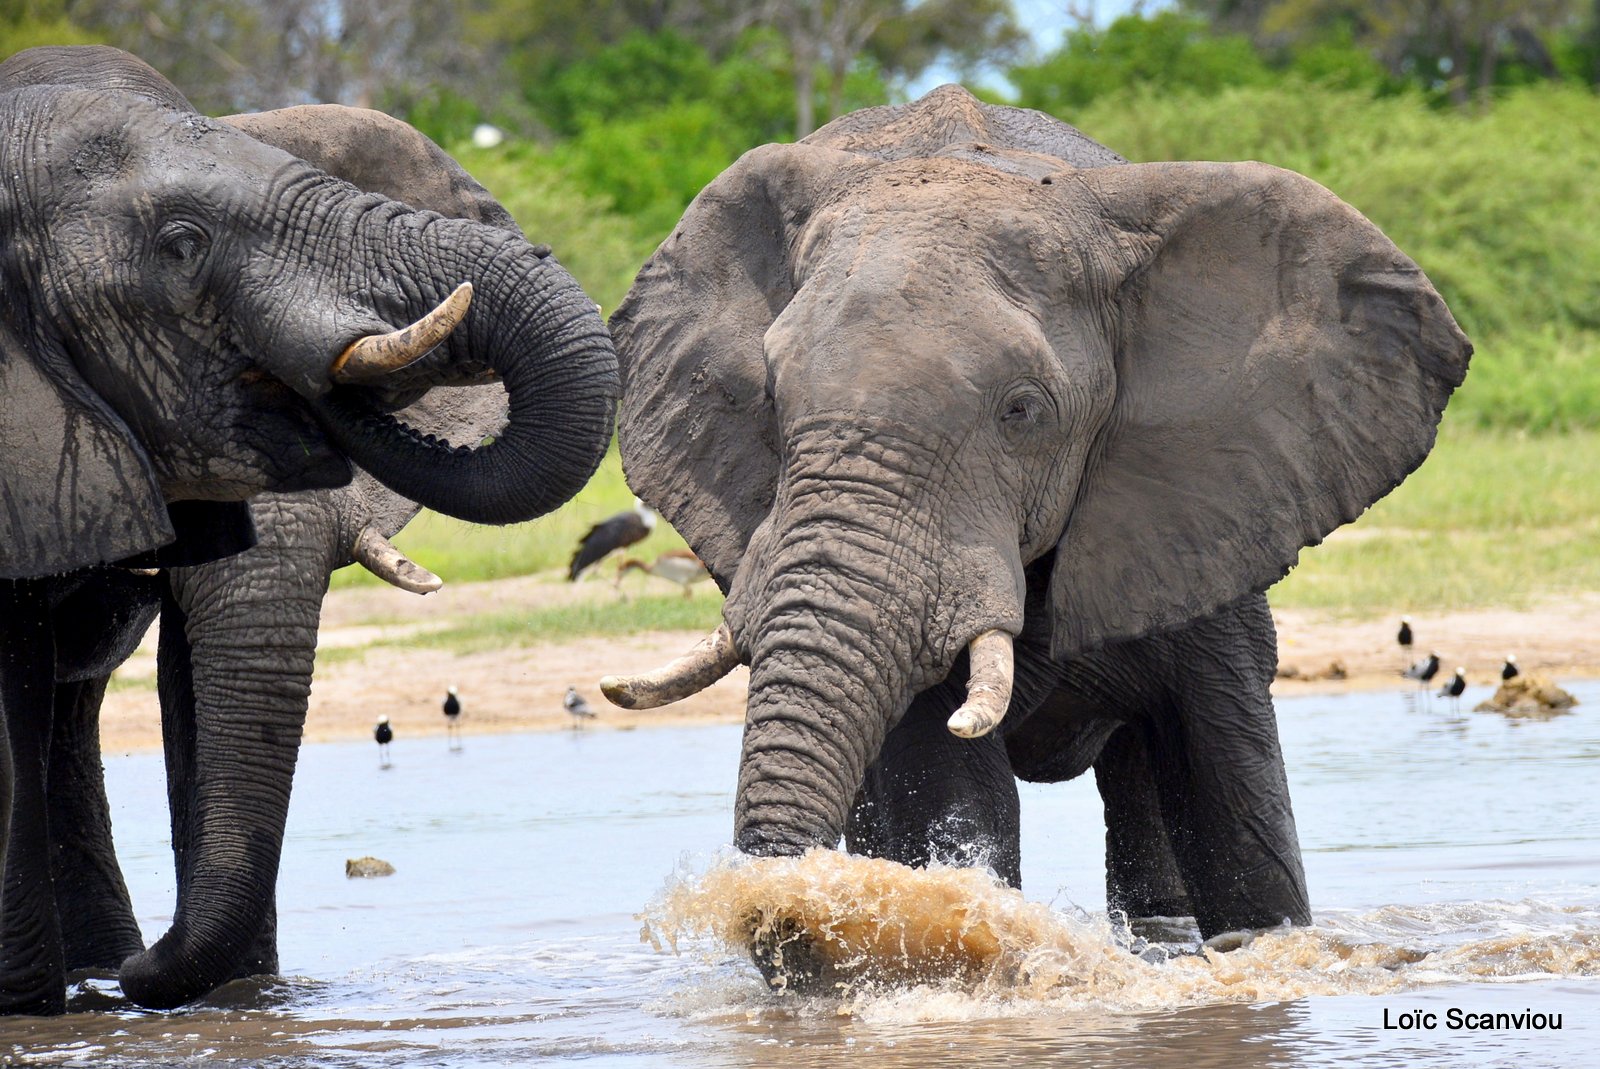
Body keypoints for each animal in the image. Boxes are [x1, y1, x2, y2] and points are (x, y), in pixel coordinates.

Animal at [601, 85, 1472, 979]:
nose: (792, 908)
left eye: (1022, 410)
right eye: (769, 397)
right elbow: (943, 779)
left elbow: (1227, 776)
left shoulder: (1213, 486)